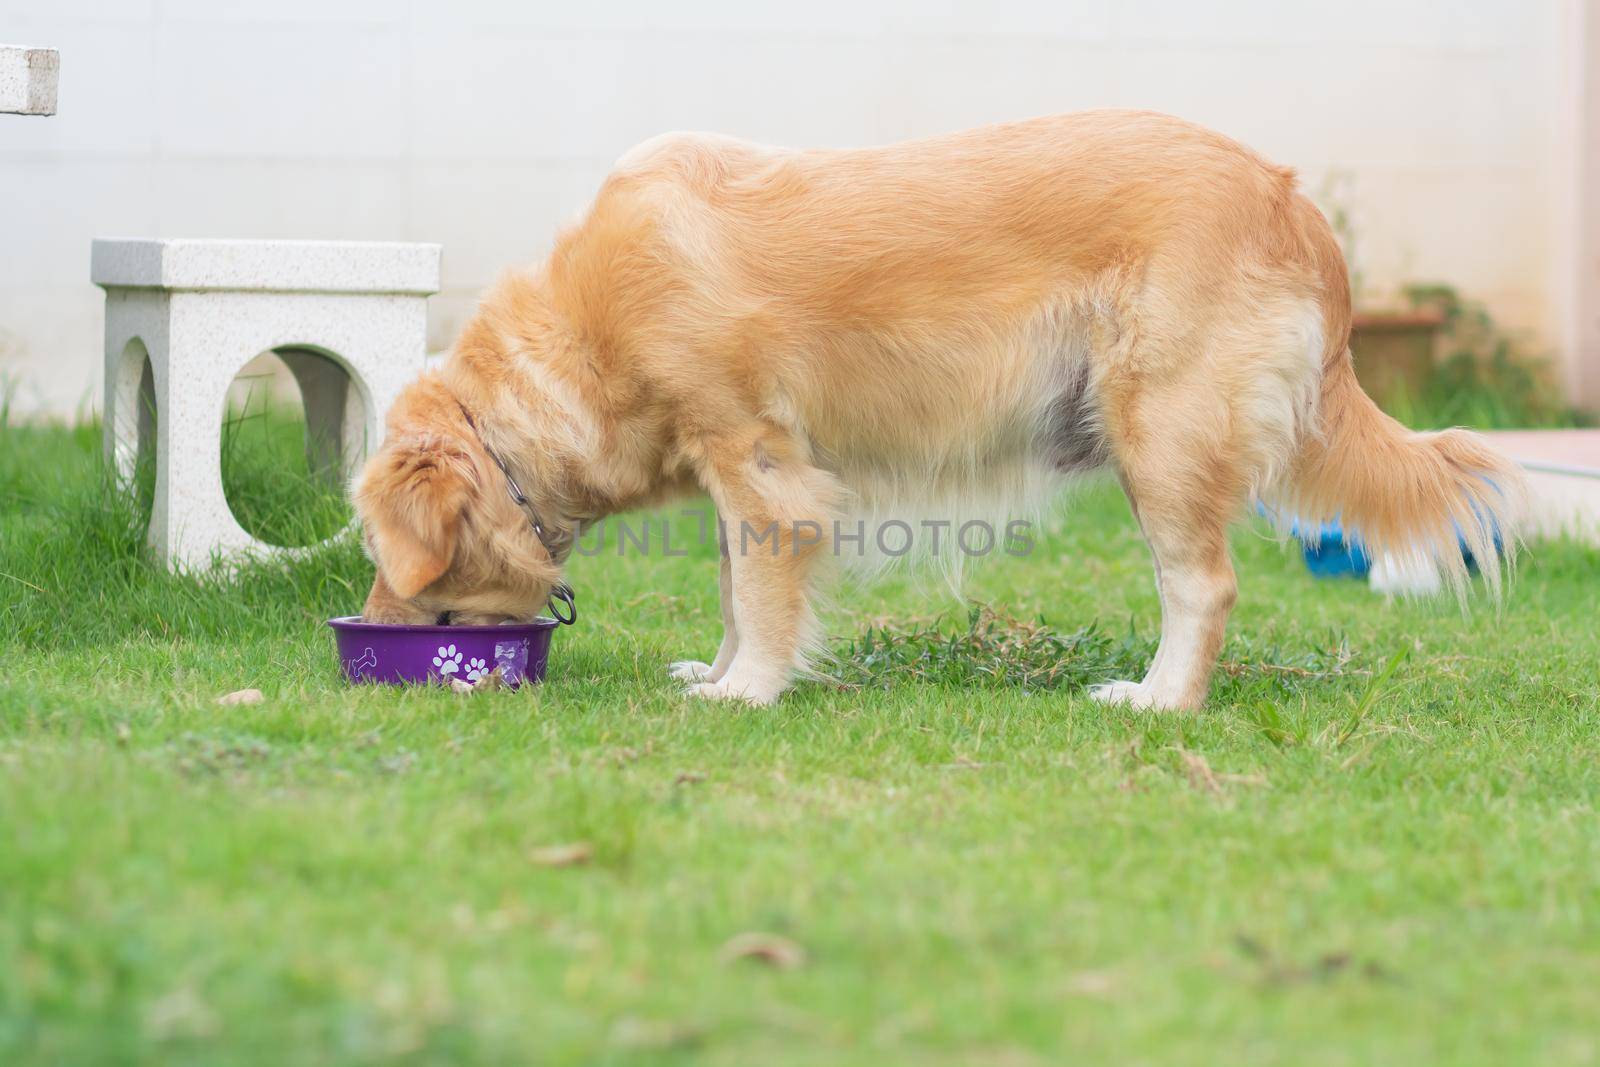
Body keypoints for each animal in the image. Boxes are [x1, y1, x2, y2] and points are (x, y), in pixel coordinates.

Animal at [353, 110, 1523, 710]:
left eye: (391, 553)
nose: (374, 625)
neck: (589, 330)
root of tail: (1294, 202)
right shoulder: (739, 470)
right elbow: (733, 589)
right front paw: (719, 668)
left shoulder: (760, 460)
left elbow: (762, 596)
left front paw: (748, 690)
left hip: (1162, 438)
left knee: (1204, 586)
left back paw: (1158, 698)